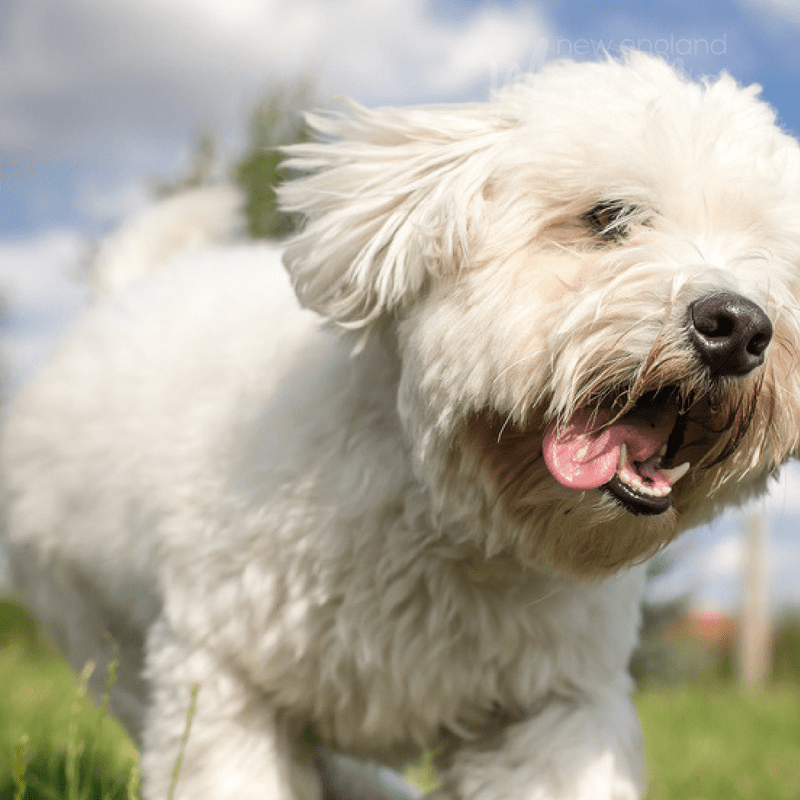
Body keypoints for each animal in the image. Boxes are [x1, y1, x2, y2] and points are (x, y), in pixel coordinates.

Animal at [1, 53, 800, 796]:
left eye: (776, 265)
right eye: (609, 217)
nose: (739, 326)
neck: (452, 523)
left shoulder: (558, 708)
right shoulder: (221, 674)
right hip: (105, 639)